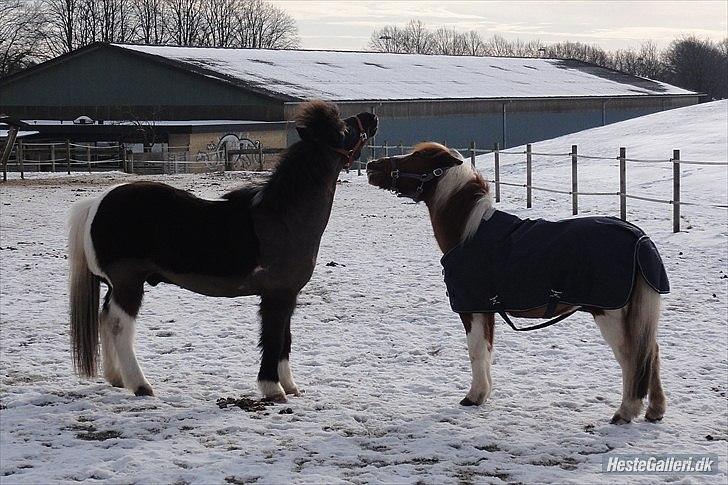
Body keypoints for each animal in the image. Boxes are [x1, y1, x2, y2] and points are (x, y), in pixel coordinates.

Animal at [67, 100, 382, 398]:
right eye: (342, 129)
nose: (371, 116)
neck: (284, 217)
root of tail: (97, 203)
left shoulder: (289, 295)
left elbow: (285, 339)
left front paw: (290, 386)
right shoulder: (277, 294)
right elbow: (273, 337)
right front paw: (273, 388)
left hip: (117, 285)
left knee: (105, 319)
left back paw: (116, 378)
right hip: (128, 283)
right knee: (120, 326)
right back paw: (140, 385)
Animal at [366, 142, 668, 422]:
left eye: (418, 157)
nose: (371, 166)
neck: (469, 233)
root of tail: (638, 239)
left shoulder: (471, 309)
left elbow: (475, 351)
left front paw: (473, 396)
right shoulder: (486, 309)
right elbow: (485, 350)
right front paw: (482, 395)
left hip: (611, 314)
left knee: (633, 357)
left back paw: (625, 412)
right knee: (651, 353)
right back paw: (654, 411)